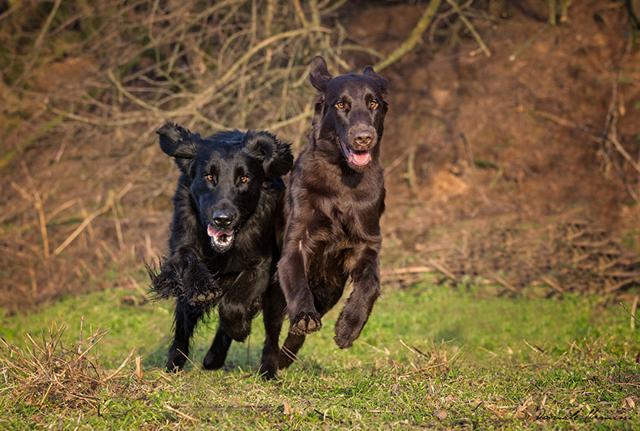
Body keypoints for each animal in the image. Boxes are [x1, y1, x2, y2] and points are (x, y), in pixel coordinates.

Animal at [150, 123, 292, 372]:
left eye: (244, 178)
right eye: (209, 176)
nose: (222, 219)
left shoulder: (261, 265)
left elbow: (232, 305)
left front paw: (240, 329)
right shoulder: (183, 241)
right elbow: (188, 261)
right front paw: (203, 287)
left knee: (271, 329)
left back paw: (267, 369)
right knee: (184, 322)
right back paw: (182, 362)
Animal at [258, 56, 388, 378]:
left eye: (373, 103)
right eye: (341, 104)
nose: (364, 138)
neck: (344, 180)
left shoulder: (365, 245)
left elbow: (371, 285)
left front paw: (348, 328)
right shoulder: (296, 243)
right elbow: (298, 285)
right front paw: (305, 315)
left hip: (331, 288)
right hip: (274, 291)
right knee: (273, 331)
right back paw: (271, 366)